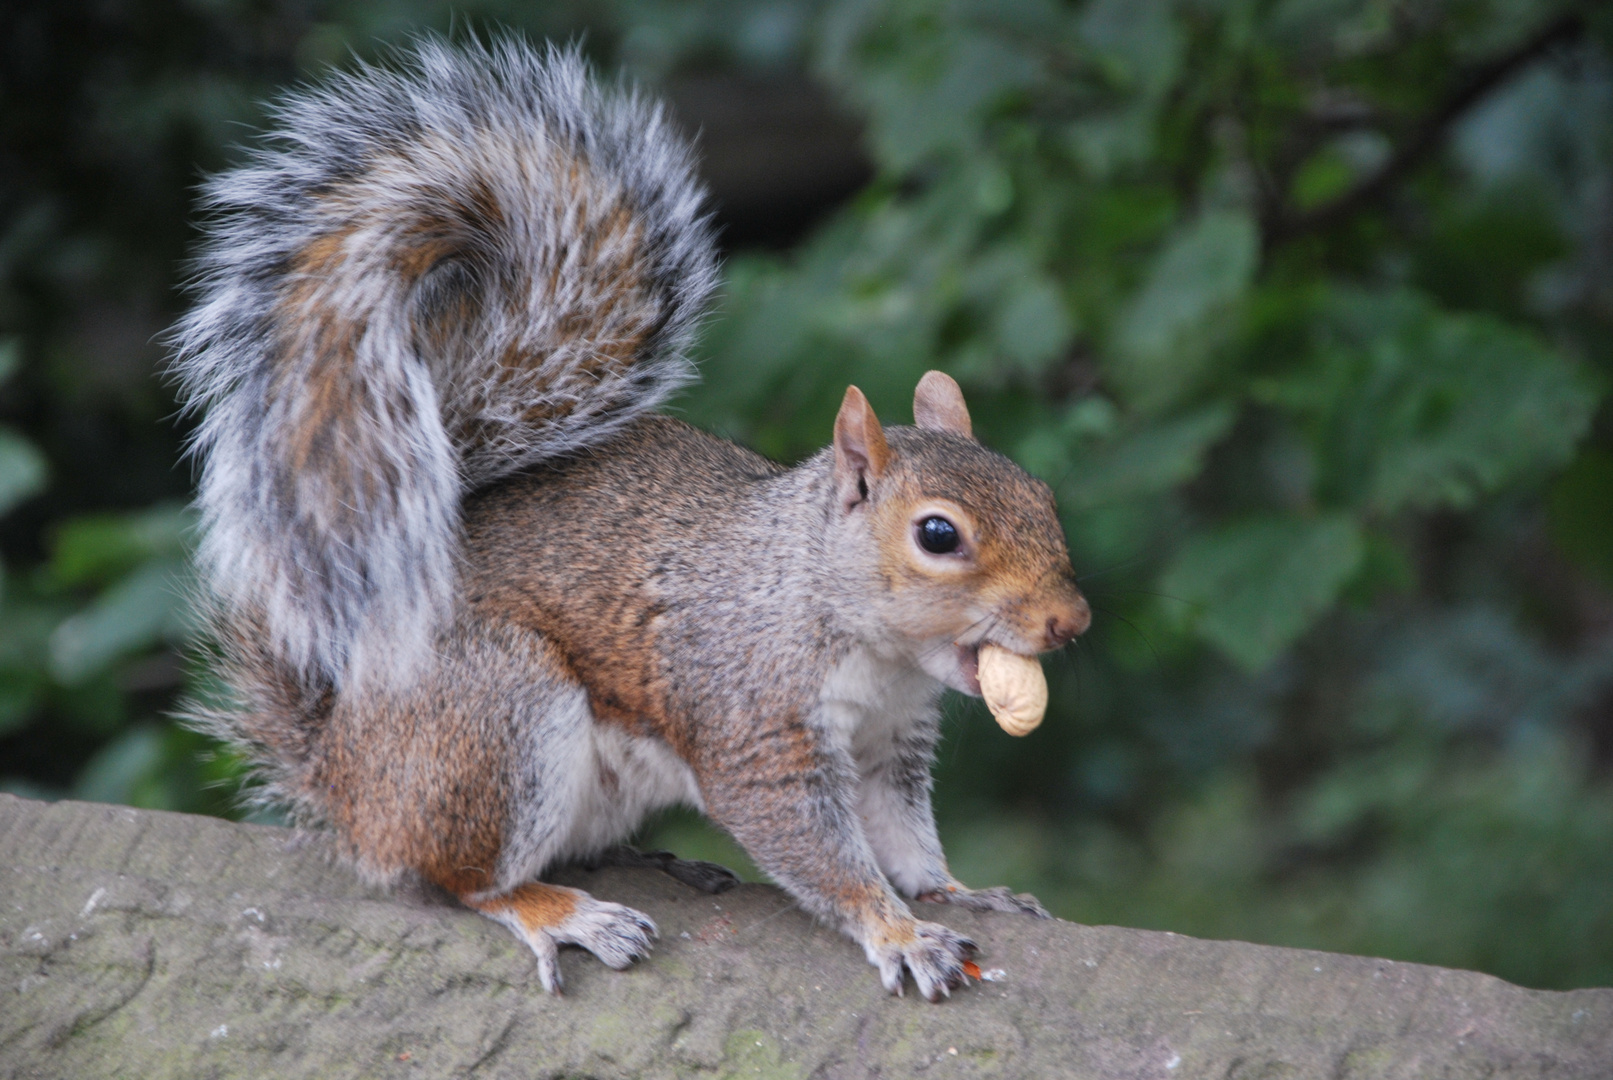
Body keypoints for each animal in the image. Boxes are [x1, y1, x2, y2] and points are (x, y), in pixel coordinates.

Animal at [170, 40, 1090, 1005]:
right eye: (938, 535)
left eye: (1041, 495)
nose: (1070, 621)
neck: (856, 630)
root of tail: (340, 773)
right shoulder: (754, 721)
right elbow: (818, 850)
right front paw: (898, 931)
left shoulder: (890, 745)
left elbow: (905, 837)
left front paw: (955, 892)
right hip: (496, 712)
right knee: (451, 877)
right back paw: (558, 911)